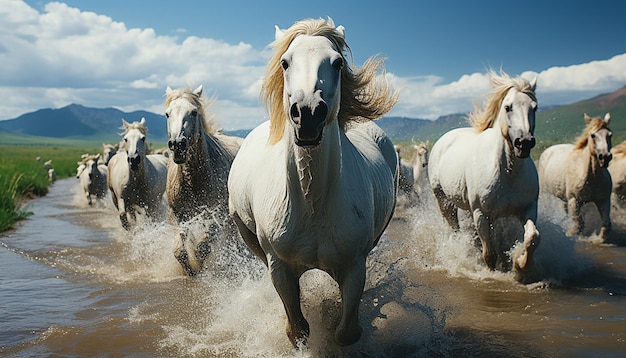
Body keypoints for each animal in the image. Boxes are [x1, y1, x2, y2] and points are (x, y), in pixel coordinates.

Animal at [162, 85, 243, 276]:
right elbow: (180, 251)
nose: (177, 145)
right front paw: (190, 271)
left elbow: (202, 248)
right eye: (167, 114)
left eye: (193, 112)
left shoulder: (218, 215)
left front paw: (199, 268)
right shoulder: (178, 214)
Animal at [227, 17, 398, 346]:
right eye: (285, 62)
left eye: (337, 63)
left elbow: (345, 333)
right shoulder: (279, 268)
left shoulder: (354, 267)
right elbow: (298, 329)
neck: (312, 205)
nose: (307, 113)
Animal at [426, 70, 540, 282]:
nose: (524, 143)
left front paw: (521, 266)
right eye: (508, 107)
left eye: (534, 107)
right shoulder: (481, 214)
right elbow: (490, 254)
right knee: (455, 228)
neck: (507, 172)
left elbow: (532, 237)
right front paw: (491, 274)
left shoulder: (528, 209)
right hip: (444, 201)